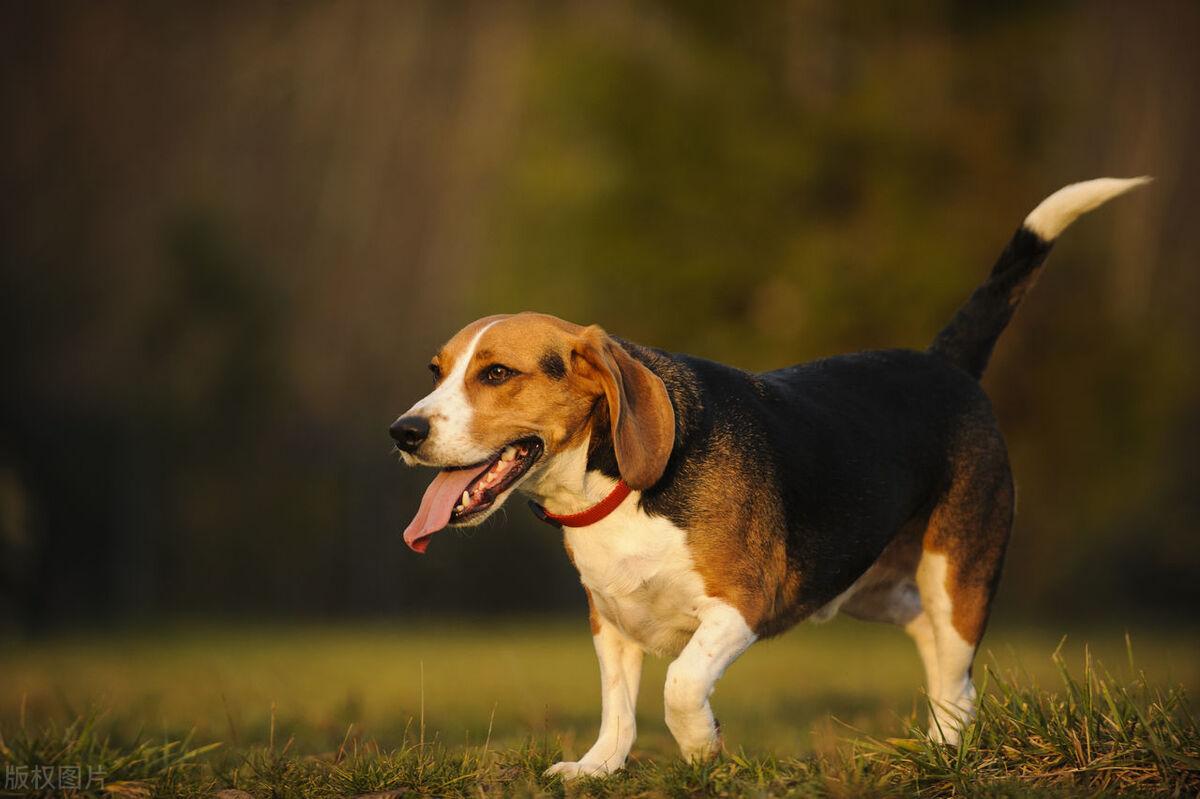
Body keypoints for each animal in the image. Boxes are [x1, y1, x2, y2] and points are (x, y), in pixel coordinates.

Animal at [388, 176, 1147, 777]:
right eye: (436, 371)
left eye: (496, 374)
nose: (404, 432)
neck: (614, 493)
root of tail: (945, 364)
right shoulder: (610, 616)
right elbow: (618, 703)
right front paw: (598, 766)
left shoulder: (746, 601)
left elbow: (680, 685)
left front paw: (703, 749)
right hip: (869, 586)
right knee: (931, 648)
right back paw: (935, 743)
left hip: (957, 571)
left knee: (955, 669)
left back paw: (946, 749)